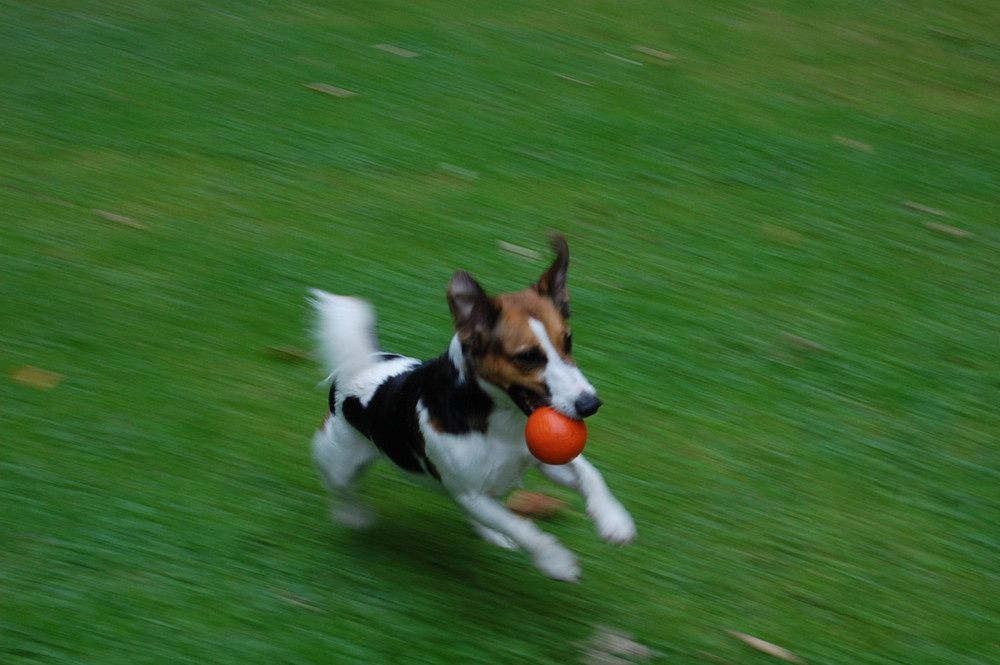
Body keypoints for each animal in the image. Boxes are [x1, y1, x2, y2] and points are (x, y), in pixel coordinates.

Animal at [310, 235, 632, 580]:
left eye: (568, 341)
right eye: (527, 357)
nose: (590, 404)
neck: (502, 421)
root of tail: (359, 368)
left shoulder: (543, 462)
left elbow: (590, 473)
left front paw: (614, 519)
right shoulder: (471, 494)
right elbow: (522, 528)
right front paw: (555, 560)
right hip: (338, 459)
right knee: (342, 488)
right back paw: (351, 515)